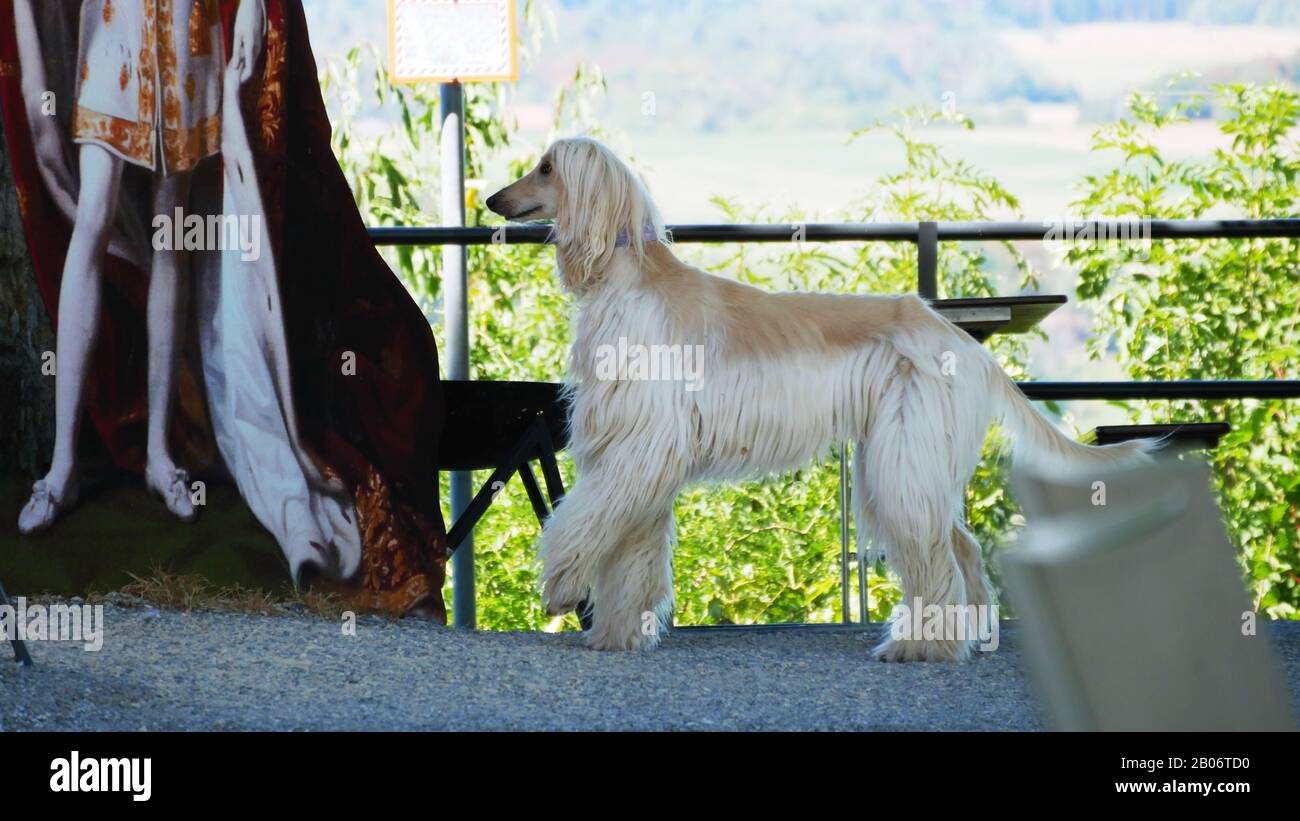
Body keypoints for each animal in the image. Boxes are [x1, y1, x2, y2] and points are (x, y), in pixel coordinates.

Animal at [486, 136, 1149, 659]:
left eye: (546, 167)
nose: (493, 201)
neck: (626, 284)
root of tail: (958, 336)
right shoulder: (634, 444)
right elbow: (630, 545)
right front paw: (618, 635)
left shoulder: (644, 442)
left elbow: (585, 519)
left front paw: (561, 585)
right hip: (911, 456)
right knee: (956, 545)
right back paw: (970, 638)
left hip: (902, 452)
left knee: (935, 551)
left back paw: (920, 646)